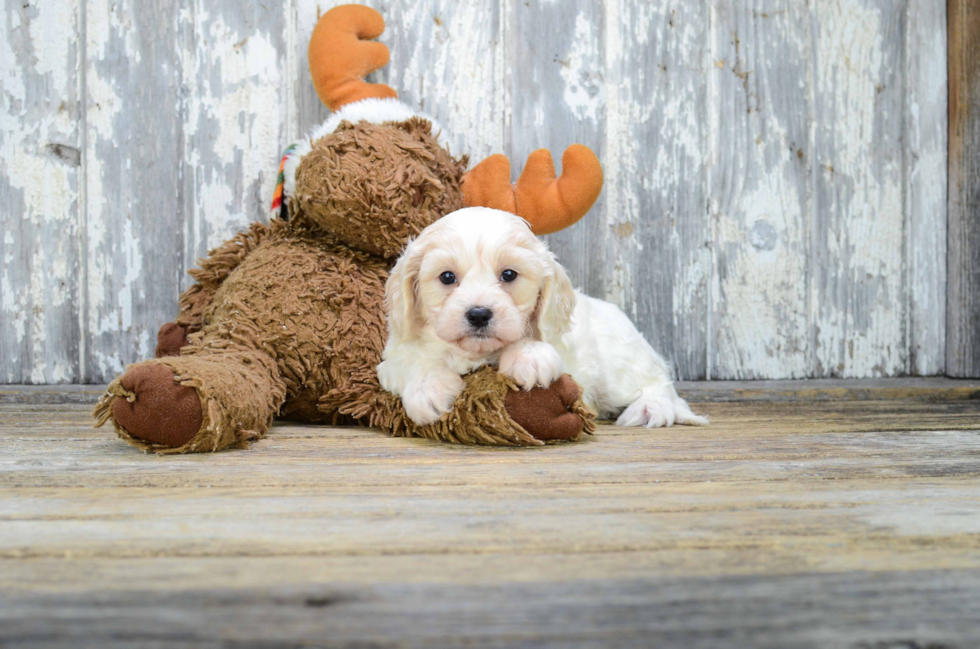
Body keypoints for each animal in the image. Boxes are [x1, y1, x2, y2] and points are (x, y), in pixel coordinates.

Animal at [376, 208, 704, 428]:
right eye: (447, 277)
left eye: (509, 274)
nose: (479, 314)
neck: (477, 354)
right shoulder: (392, 358)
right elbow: (413, 362)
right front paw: (428, 391)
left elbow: (535, 344)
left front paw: (529, 358)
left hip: (619, 365)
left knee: (661, 385)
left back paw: (649, 408)